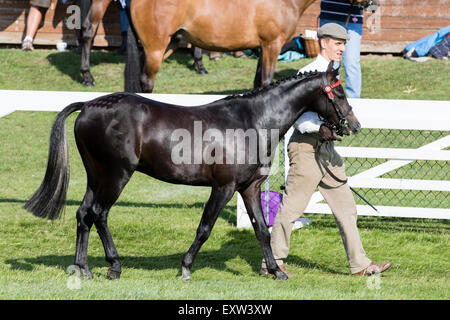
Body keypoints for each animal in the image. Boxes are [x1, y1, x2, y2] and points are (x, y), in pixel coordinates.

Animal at [24, 64, 360, 280]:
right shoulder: (223, 187)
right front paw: (185, 267)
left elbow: (262, 230)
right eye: (340, 94)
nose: (354, 125)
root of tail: (90, 106)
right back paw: (114, 265)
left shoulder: (249, 188)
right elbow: (205, 227)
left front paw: (277, 271)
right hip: (116, 176)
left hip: (97, 176)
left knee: (84, 214)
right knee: (99, 213)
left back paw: (83, 268)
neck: (253, 121)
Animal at [125, 0, 318, 92]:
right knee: (147, 82)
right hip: (156, 49)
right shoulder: (272, 46)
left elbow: (257, 83)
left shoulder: (263, 48)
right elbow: (266, 82)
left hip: (166, 46)